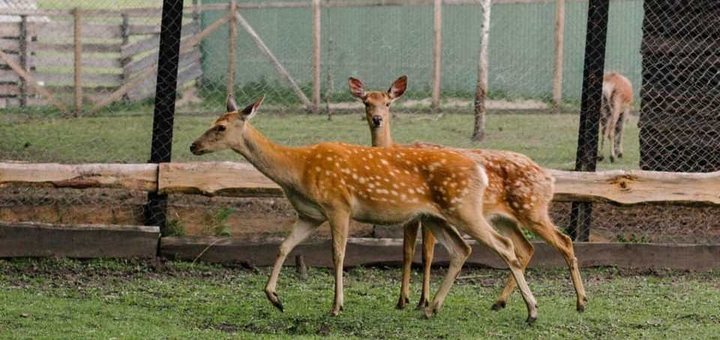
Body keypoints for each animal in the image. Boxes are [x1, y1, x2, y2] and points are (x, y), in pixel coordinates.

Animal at [191, 96, 540, 324]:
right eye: (211, 123)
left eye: (220, 127)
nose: (194, 145)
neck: (298, 171)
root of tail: (480, 171)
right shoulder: (310, 214)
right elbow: (283, 246)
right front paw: (275, 298)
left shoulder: (338, 205)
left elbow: (338, 255)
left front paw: (336, 307)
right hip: (435, 215)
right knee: (461, 249)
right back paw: (431, 308)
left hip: (464, 208)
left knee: (505, 246)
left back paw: (530, 311)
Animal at [348, 76, 592, 314]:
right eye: (366, 103)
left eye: (388, 103)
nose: (377, 119)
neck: (395, 149)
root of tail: (548, 177)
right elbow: (410, 252)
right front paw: (410, 300)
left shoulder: (418, 213)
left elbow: (423, 253)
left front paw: (415, 301)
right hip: (504, 217)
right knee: (525, 248)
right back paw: (501, 302)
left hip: (532, 210)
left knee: (563, 241)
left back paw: (580, 302)